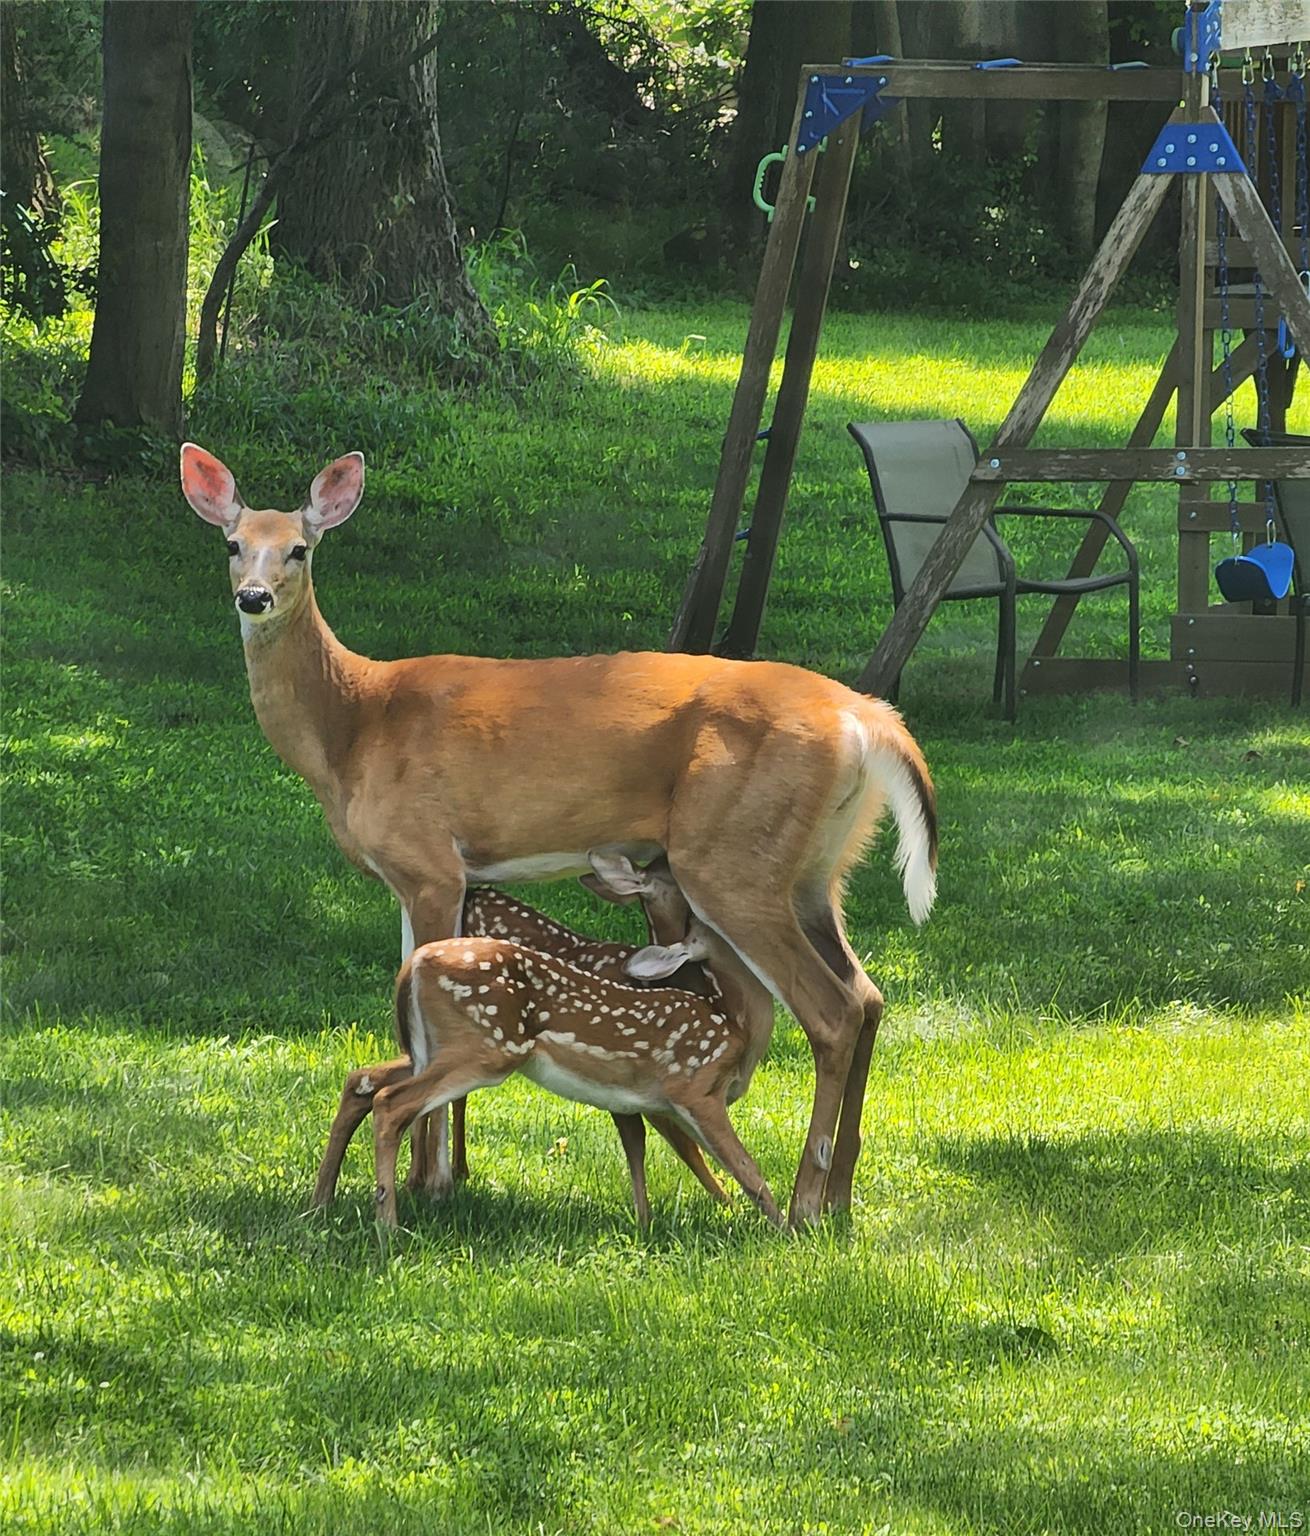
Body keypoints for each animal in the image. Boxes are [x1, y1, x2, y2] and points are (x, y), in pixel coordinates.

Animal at [311, 853, 774, 1226]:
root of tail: (412, 964)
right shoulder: (673, 1088)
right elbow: (713, 1158)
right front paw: (752, 1218)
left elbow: (644, 1148)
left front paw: (650, 1221)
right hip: (483, 1051)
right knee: (394, 1101)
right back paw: (393, 1217)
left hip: (429, 1047)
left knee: (364, 1081)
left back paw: (325, 1201)